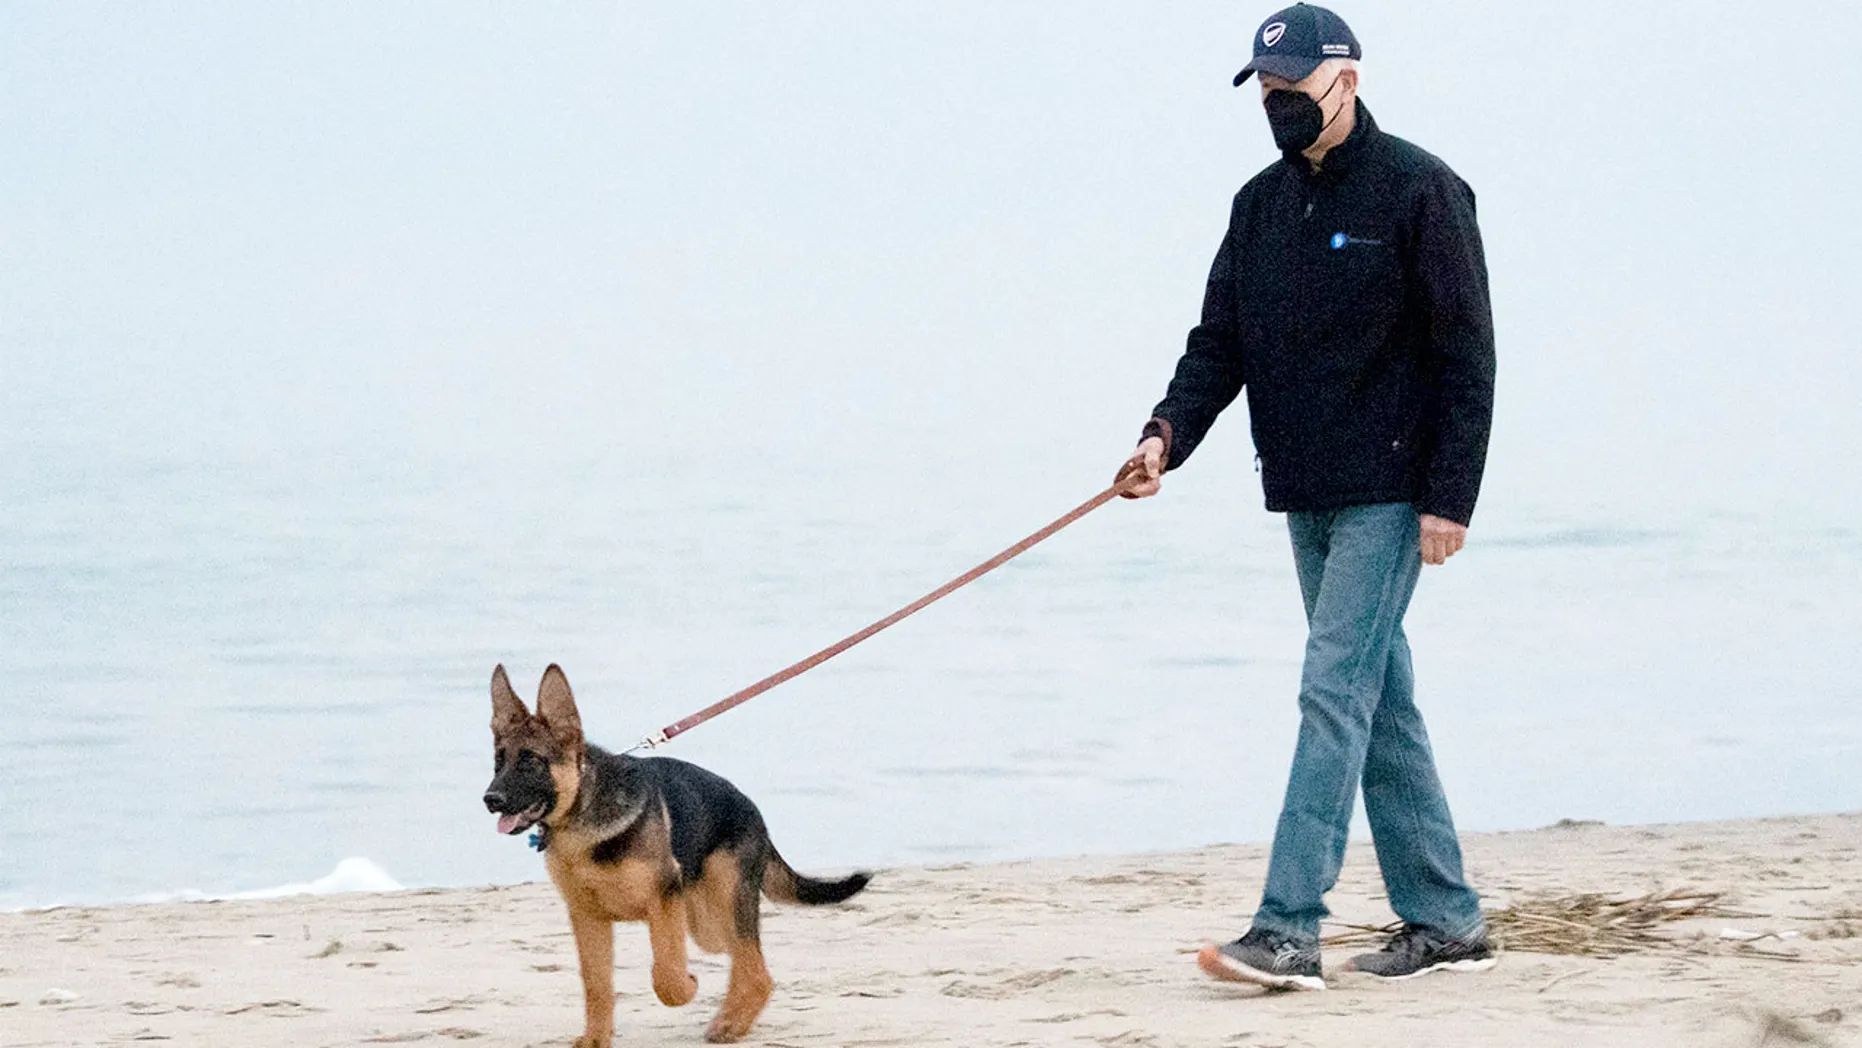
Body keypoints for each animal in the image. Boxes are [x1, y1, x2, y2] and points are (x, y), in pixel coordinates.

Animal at [487, 670, 878, 1042]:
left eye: (531, 762)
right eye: (498, 762)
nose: (490, 799)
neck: (583, 815)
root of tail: (753, 811)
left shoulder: (663, 901)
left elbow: (667, 973)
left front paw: (686, 987)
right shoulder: (588, 918)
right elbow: (596, 986)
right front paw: (595, 1039)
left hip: (721, 905)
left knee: (755, 968)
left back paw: (731, 1024)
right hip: (706, 923)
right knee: (745, 961)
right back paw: (732, 1018)